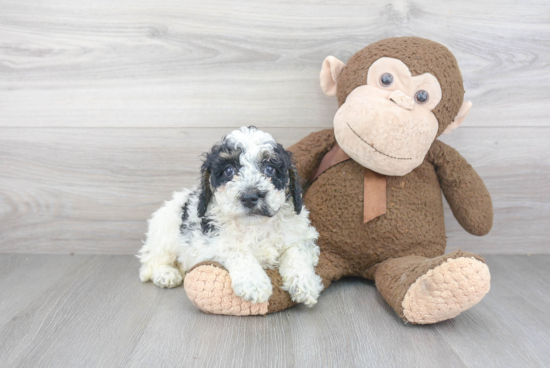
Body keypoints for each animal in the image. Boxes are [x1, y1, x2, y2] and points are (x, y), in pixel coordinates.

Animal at [140, 126, 326, 308]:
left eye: (270, 169)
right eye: (229, 170)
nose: (250, 197)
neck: (255, 226)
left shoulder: (300, 235)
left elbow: (297, 252)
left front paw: (305, 284)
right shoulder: (210, 246)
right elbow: (236, 250)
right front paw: (254, 283)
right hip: (165, 233)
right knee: (151, 262)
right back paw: (166, 274)